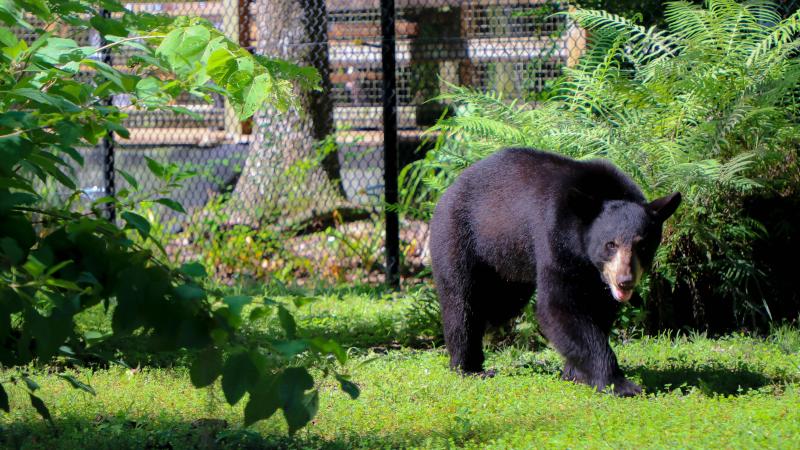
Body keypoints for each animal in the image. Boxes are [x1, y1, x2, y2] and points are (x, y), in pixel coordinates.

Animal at [432, 146, 680, 396]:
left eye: (643, 245)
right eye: (611, 244)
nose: (624, 281)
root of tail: (449, 189)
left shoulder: (595, 277)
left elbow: (599, 309)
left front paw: (576, 373)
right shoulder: (555, 237)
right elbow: (558, 305)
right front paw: (619, 383)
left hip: (507, 267)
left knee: (497, 304)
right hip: (460, 236)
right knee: (462, 303)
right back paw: (468, 367)